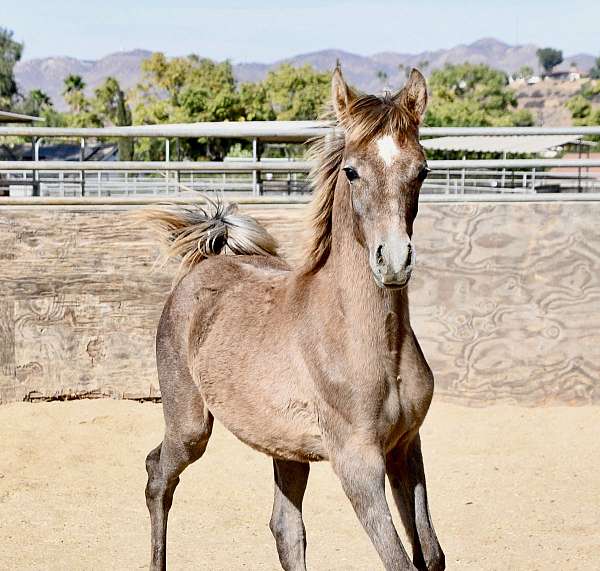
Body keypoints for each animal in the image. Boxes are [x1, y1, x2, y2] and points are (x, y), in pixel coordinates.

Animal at [142, 65, 446, 568]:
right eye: (352, 171)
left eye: (421, 170)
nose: (394, 261)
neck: (375, 346)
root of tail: (204, 263)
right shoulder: (357, 462)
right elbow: (399, 560)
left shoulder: (407, 447)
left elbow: (431, 555)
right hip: (189, 425)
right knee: (157, 476)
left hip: (284, 446)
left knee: (285, 528)